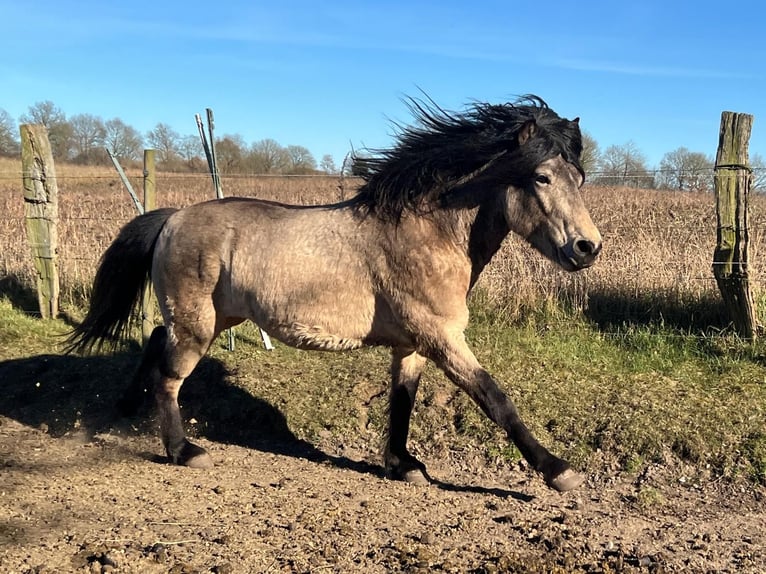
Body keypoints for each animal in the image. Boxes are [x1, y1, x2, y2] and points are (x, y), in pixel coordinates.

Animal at [66, 96, 602, 492]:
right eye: (541, 176)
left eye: (579, 178)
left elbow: (402, 401)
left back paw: (124, 409)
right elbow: (494, 397)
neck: (429, 231)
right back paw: (182, 451)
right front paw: (559, 471)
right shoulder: (442, 337)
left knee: (157, 340)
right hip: (198, 323)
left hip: (217, 318)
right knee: (169, 377)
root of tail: (173, 217)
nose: (588, 247)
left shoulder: (413, 345)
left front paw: (402, 464)